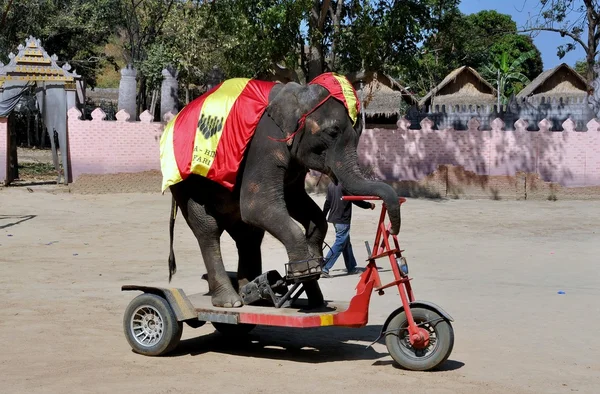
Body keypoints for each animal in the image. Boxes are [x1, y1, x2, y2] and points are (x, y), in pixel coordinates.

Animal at [164, 73, 400, 308]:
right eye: (332, 132)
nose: (392, 231)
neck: (299, 94)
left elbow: (303, 206)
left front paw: (315, 283)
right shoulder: (265, 144)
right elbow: (257, 206)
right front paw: (303, 272)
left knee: (248, 234)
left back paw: (250, 291)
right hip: (186, 184)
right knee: (209, 228)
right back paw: (231, 302)